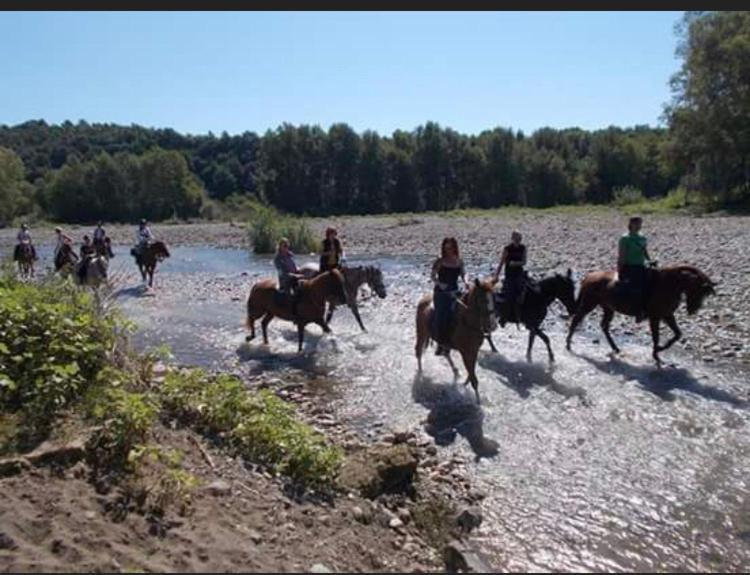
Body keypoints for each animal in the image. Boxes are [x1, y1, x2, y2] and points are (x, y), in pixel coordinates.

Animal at [568, 264, 720, 366]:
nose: (693, 310)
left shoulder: (667, 315)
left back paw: (615, 348)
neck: (668, 285)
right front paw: (656, 354)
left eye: (704, 295)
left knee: (604, 326)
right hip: (589, 304)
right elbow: (656, 337)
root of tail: (589, 276)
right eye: (699, 292)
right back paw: (568, 344)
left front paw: (660, 349)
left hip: (608, 308)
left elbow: (677, 334)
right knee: (576, 320)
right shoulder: (655, 317)